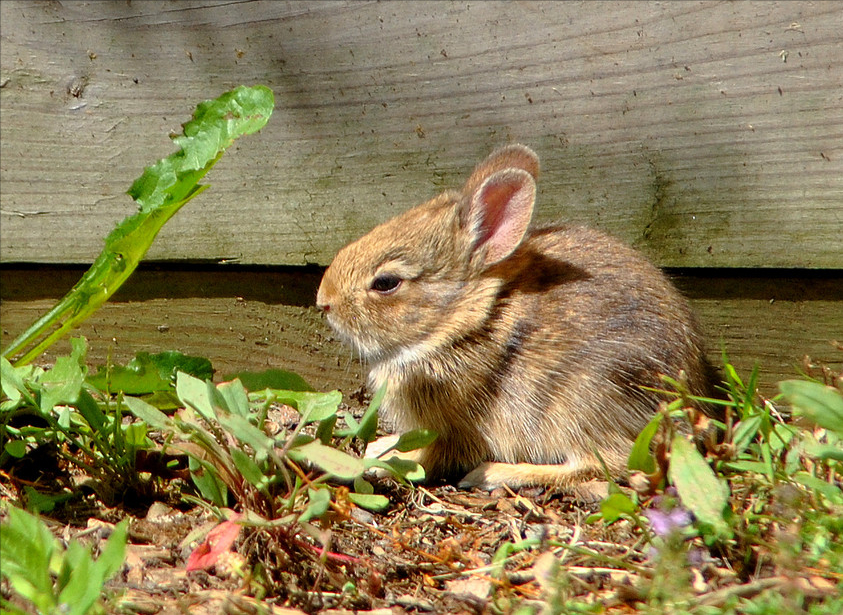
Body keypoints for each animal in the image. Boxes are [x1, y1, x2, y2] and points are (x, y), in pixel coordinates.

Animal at [316, 143, 720, 490]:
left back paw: (495, 474)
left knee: (603, 463)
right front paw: (377, 446)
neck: (466, 319)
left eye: (386, 283)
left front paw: (379, 459)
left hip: (584, 403)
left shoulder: (453, 430)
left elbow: (429, 456)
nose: (324, 301)